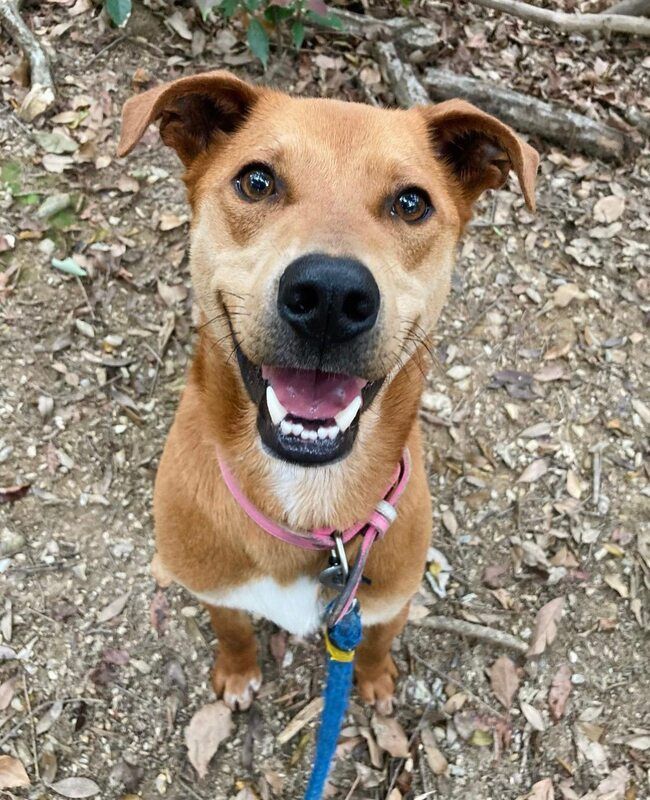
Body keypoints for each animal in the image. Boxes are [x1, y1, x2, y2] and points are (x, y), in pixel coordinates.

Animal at [116, 72, 536, 712]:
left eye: (411, 203)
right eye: (256, 181)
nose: (331, 296)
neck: (310, 496)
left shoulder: (385, 601)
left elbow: (375, 642)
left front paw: (375, 679)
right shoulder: (217, 589)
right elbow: (232, 628)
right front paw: (237, 670)